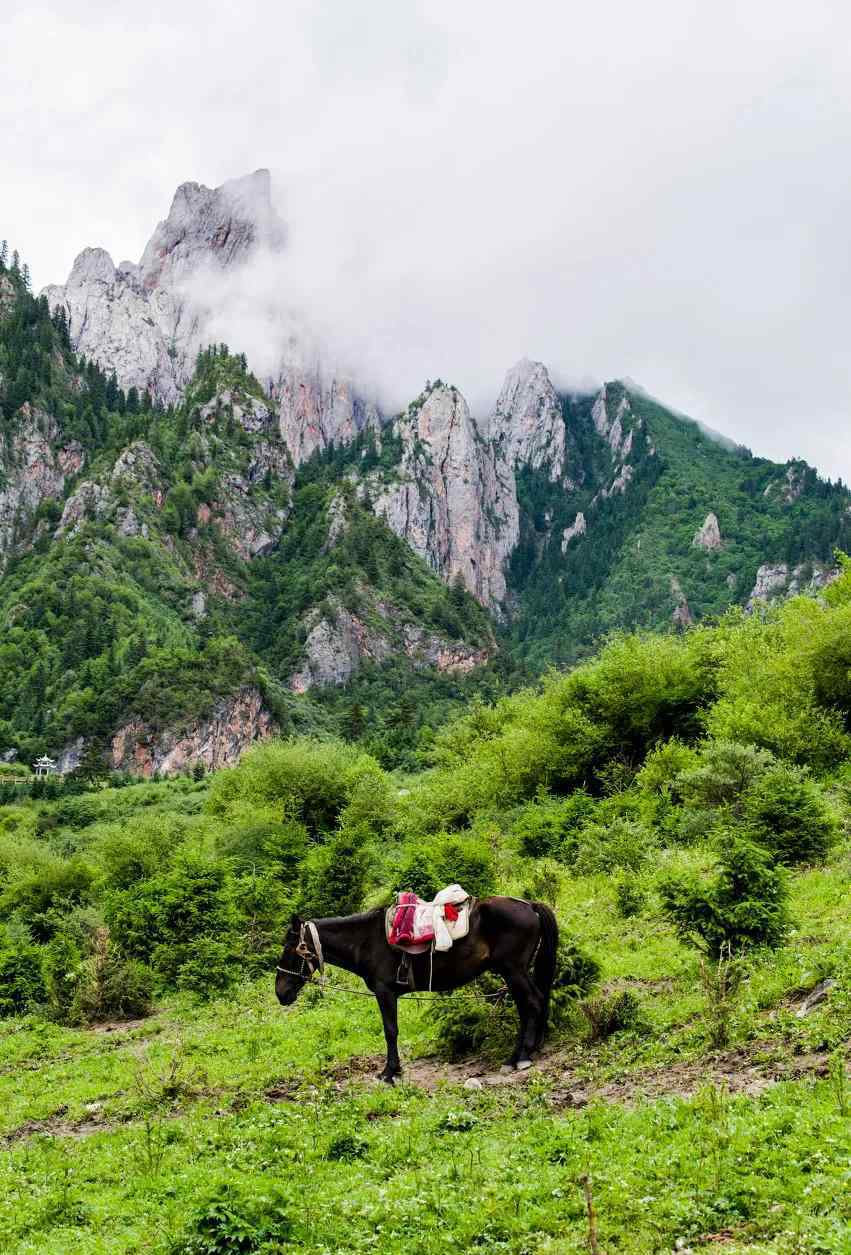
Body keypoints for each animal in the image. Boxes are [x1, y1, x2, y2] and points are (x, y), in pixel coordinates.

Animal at [273, 898, 559, 1084]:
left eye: (290, 948)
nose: (280, 992)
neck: (364, 940)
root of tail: (529, 906)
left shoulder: (385, 992)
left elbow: (390, 1031)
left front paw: (390, 1073)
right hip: (512, 972)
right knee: (527, 1007)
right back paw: (516, 1056)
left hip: (514, 970)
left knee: (533, 1003)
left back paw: (522, 1057)